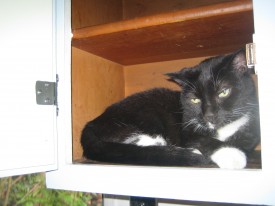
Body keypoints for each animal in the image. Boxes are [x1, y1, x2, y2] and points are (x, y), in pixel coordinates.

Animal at [81, 50, 260, 169]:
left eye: (224, 92)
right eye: (195, 99)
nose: (209, 115)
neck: (223, 129)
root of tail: (90, 124)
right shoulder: (187, 128)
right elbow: (203, 139)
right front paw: (232, 155)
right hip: (144, 112)